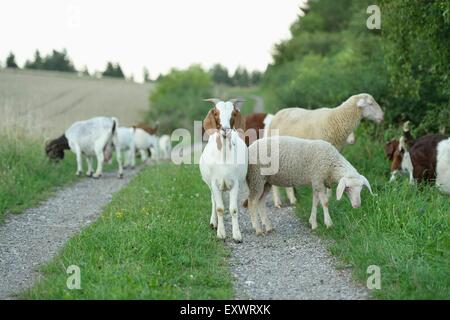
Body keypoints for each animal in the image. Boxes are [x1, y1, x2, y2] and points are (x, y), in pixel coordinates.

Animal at [200, 99, 250, 241]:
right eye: (216, 113)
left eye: (233, 113)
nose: (225, 130)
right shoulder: (214, 183)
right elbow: (220, 208)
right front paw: (221, 234)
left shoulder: (235, 184)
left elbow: (233, 209)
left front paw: (237, 235)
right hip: (211, 185)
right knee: (213, 201)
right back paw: (213, 223)